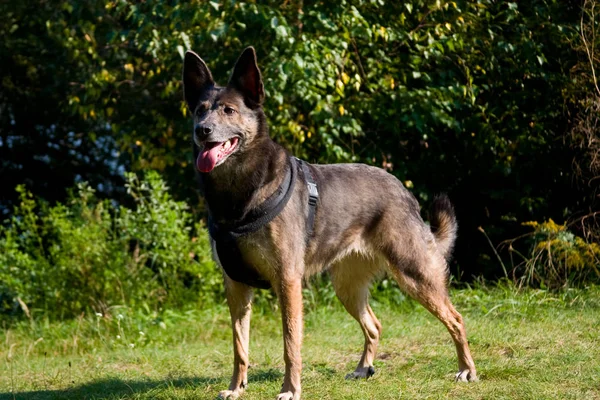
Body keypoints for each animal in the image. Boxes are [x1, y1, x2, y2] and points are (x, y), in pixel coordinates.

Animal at [183, 47, 478, 400]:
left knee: (457, 319)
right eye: (199, 111)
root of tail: (404, 191)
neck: (239, 195)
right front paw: (236, 388)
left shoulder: (287, 281)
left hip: (415, 275)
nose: (202, 130)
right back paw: (364, 368)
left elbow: (291, 344)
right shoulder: (236, 286)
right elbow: (240, 346)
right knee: (374, 325)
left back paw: (466, 370)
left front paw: (290, 390)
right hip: (347, 287)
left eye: (229, 110)